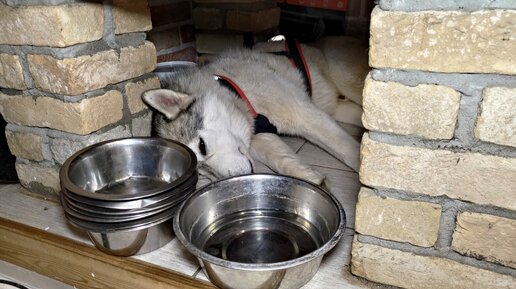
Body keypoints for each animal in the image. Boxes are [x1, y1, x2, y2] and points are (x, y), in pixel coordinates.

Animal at [141, 36, 366, 184]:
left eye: (202, 146)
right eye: (203, 172)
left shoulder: (302, 113)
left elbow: (348, 151)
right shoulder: (260, 137)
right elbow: (281, 159)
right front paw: (311, 178)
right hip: (338, 107)